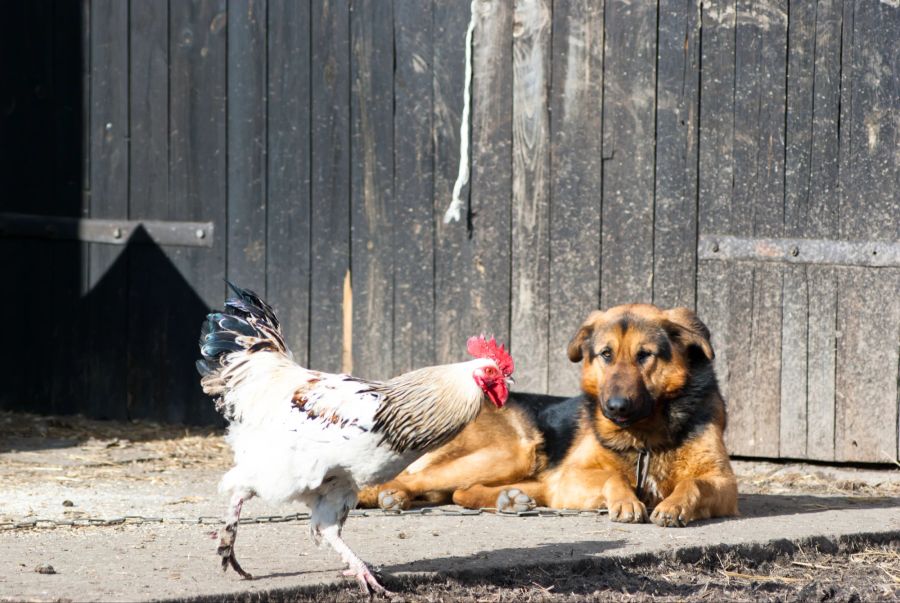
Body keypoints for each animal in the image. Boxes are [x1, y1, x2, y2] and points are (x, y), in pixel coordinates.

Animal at [358, 304, 740, 528]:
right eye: (606, 354)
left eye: (645, 355)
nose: (615, 407)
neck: (645, 435)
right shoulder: (572, 475)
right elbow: (611, 477)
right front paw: (625, 501)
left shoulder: (724, 484)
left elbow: (694, 483)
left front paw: (674, 506)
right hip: (514, 453)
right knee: (413, 481)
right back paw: (390, 496)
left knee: (460, 493)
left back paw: (509, 500)